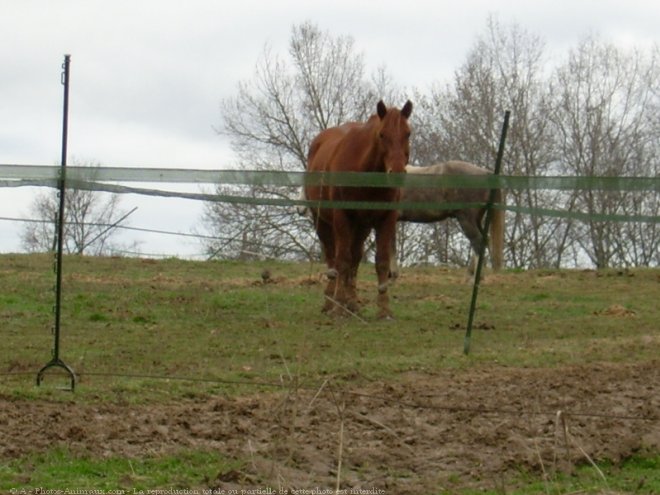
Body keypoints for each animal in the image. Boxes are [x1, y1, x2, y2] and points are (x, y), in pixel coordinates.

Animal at [306, 99, 412, 320]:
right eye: (382, 135)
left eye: (408, 134)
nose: (397, 173)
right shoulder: (342, 217)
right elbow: (342, 261)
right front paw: (338, 305)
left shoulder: (386, 219)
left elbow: (381, 262)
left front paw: (384, 310)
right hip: (322, 221)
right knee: (333, 258)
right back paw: (331, 301)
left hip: (361, 227)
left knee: (354, 259)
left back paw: (352, 302)